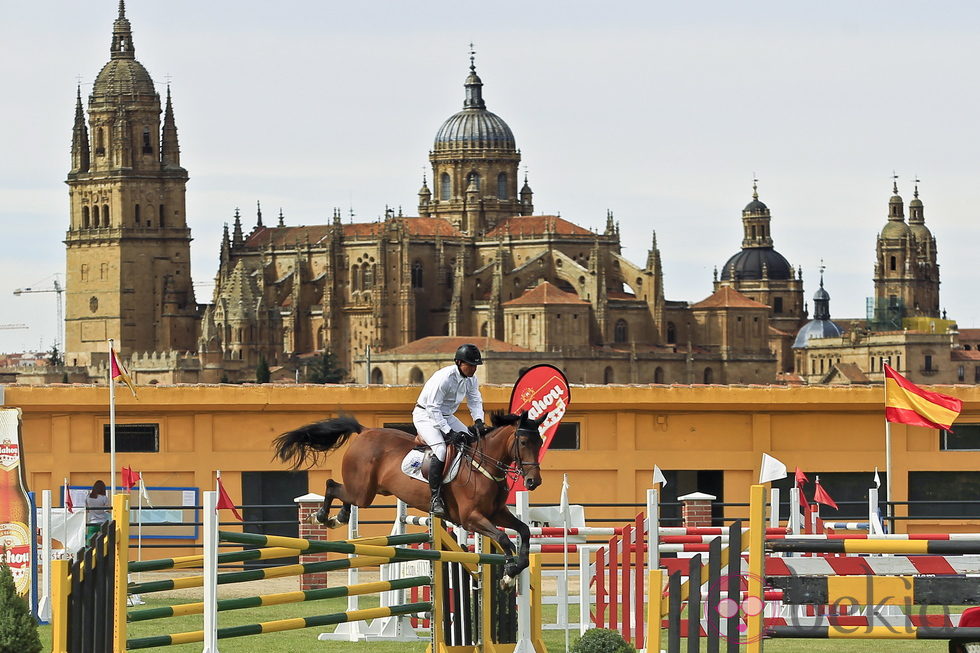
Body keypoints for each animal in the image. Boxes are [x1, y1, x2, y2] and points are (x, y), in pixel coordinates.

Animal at [276, 408, 548, 584]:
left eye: (540, 441)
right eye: (523, 442)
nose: (533, 482)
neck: (483, 464)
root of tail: (365, 431)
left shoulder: (496, 513)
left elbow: (524, 531)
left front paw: (516, 568)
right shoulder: (472, 519)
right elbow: (503, 539)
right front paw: (509, 573)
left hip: (370, 490)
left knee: (345, 494)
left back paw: (339, 517)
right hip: (364, 492)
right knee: (332, 484)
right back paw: (322, 516)